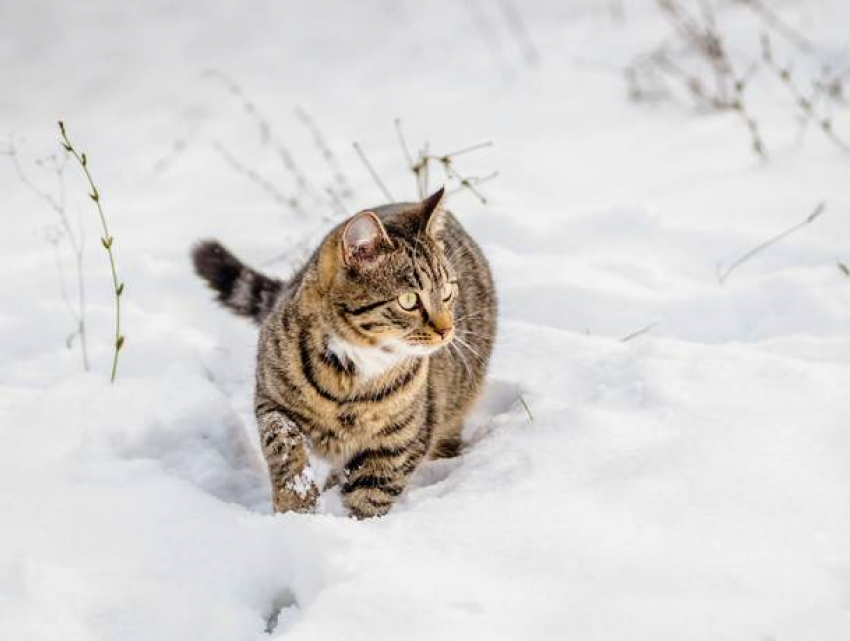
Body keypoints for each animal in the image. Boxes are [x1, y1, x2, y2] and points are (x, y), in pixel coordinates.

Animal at [190, 188, 496, 516]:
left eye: (448, 292)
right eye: (409, 300)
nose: (447, 330)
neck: (350, 373)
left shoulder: (401, 442)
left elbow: (371, 493)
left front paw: (354, 523)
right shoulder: (271, 398)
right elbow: (283, 441)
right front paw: (297, 505)